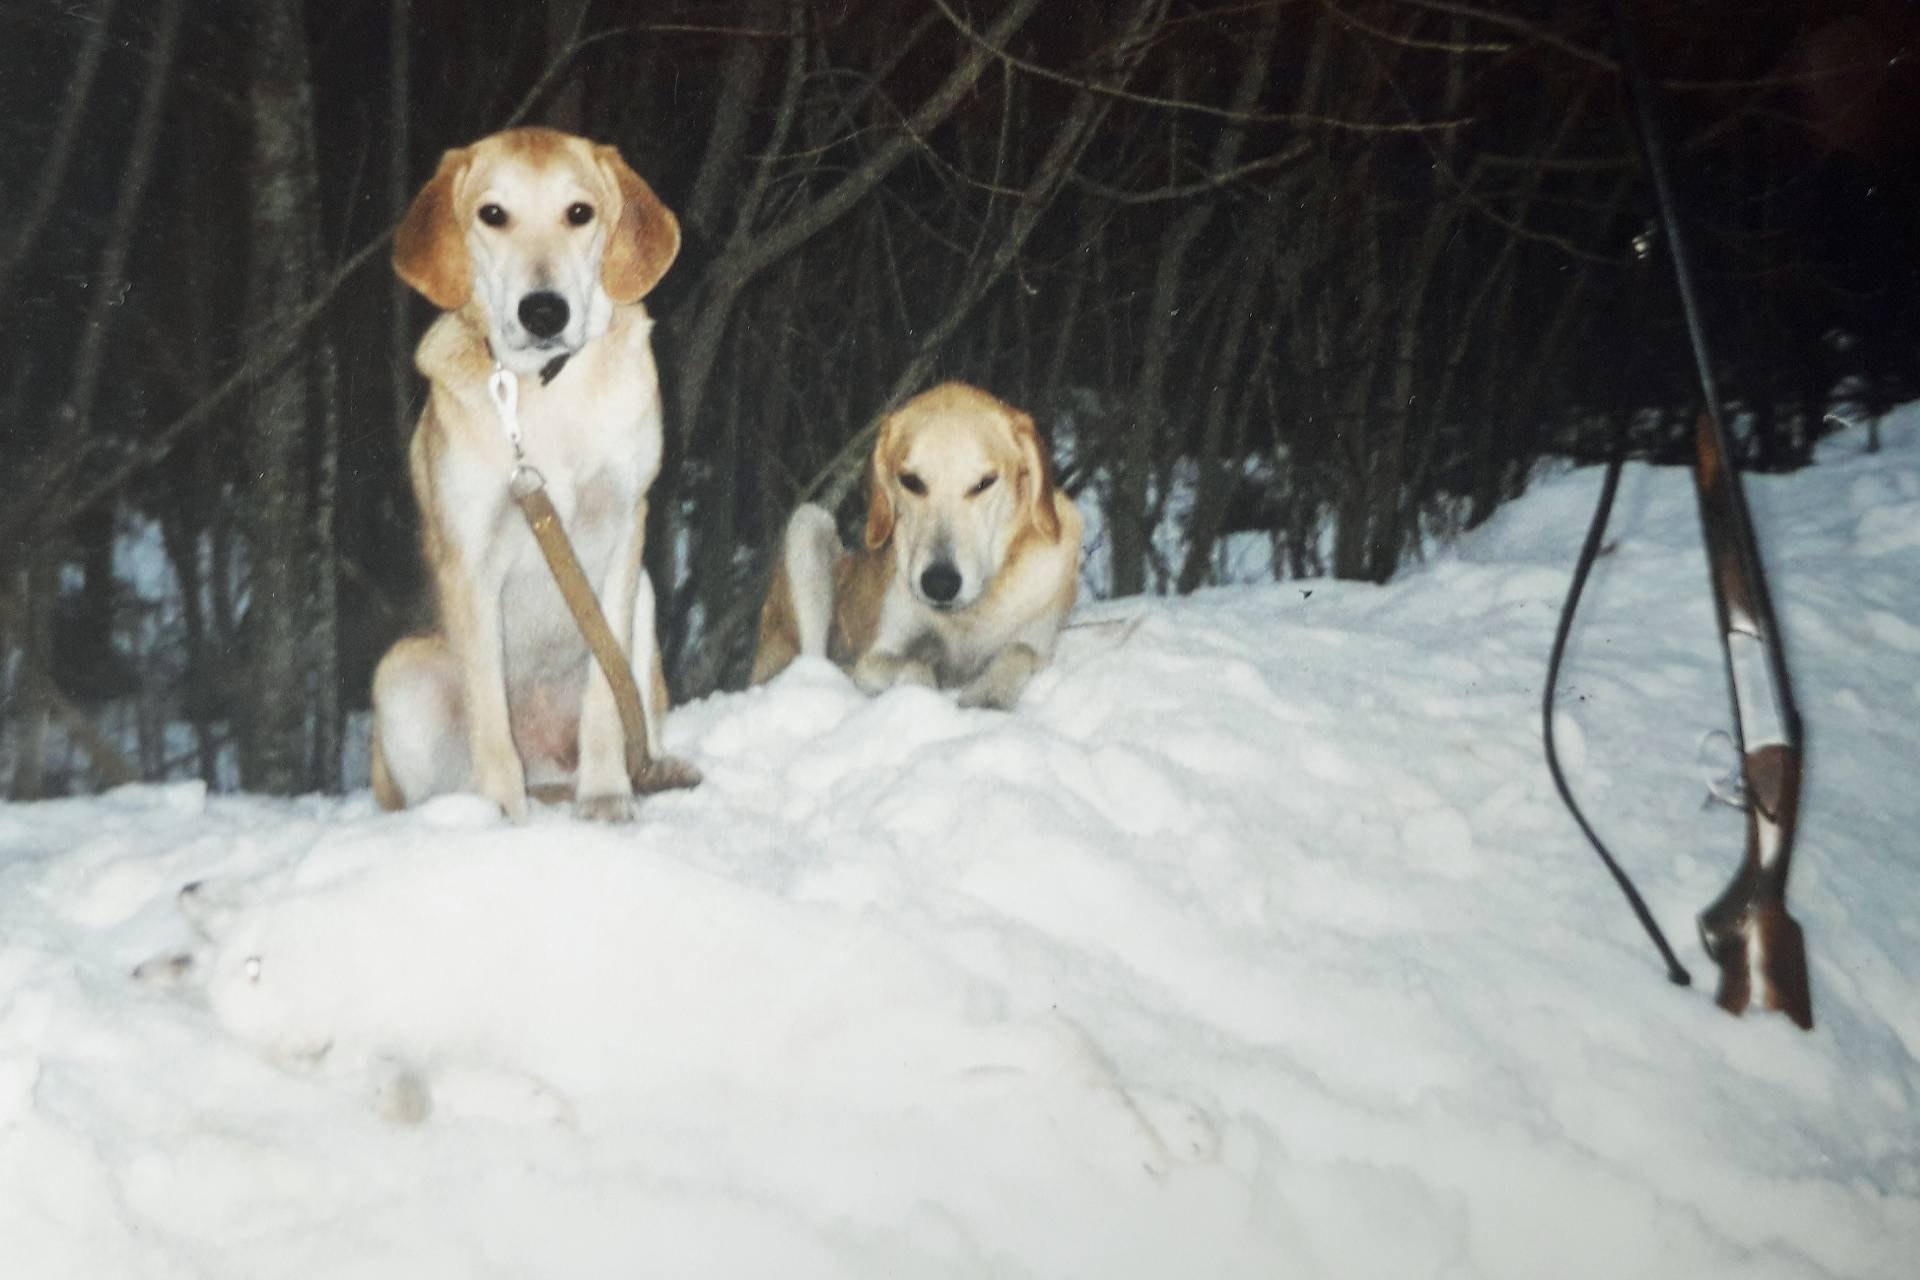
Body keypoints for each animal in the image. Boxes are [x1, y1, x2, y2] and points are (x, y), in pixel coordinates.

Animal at [368, 127, 698, 821]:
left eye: (580, 212)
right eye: (493, 214)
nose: (543, 311)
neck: (549, 391)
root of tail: (548, 761)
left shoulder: (622, 537)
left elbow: (604, 697)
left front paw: (604, 795)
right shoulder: (471, 561)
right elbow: (490, 720)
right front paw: (502, 818)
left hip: (648, 598)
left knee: (635, 724)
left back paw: (650, 771)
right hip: (400, 675)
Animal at [748, 379, 1082, 710]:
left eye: (984, 483)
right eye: (911, 481)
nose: (940, 584)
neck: (968, 615)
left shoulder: (1038, 640)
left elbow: (1018, 651)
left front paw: (989, 692)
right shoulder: (878, 653)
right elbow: (914, 664)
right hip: (807, 525)